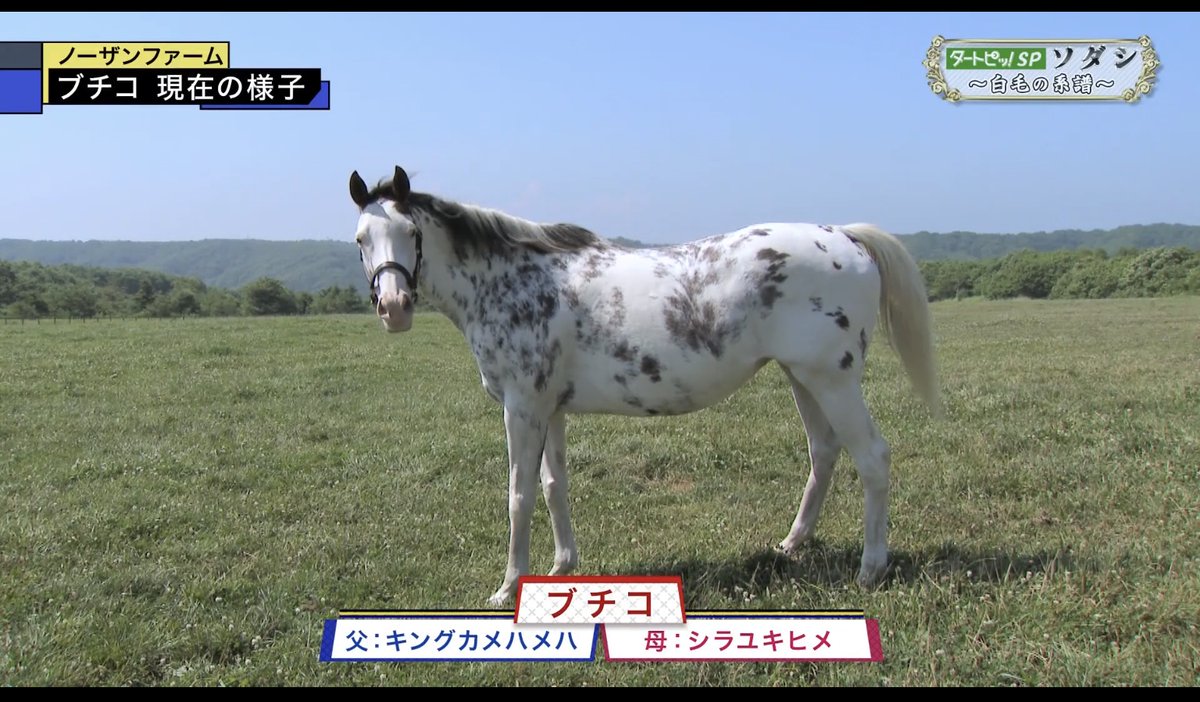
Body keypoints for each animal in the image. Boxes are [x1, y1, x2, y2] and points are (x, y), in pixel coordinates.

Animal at [348, 166, 943, 607]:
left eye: (412, 234)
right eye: (360, 239)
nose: (394, 308)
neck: (512, 281)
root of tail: (846, 237)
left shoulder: (522, 408)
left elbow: (519, 495)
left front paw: (508, 587)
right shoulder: (549, 409)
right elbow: (554, 486)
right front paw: (562, 567)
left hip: (833, 380)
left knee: (872, 458)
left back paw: (871, 568)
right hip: (804, 378)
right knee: (824, 452)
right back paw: (791, 544)